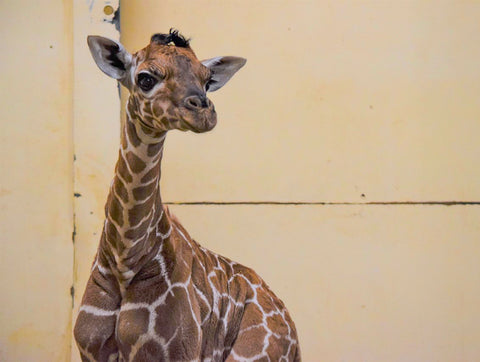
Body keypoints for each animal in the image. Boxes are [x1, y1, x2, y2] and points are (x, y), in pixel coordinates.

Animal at [74, 29, 300, 360]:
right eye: (145, 78)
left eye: (206, 80)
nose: (204, 111)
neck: (124, 257)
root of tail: (293, 332)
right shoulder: (91, 350)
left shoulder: (179, 351)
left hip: (254, 354)